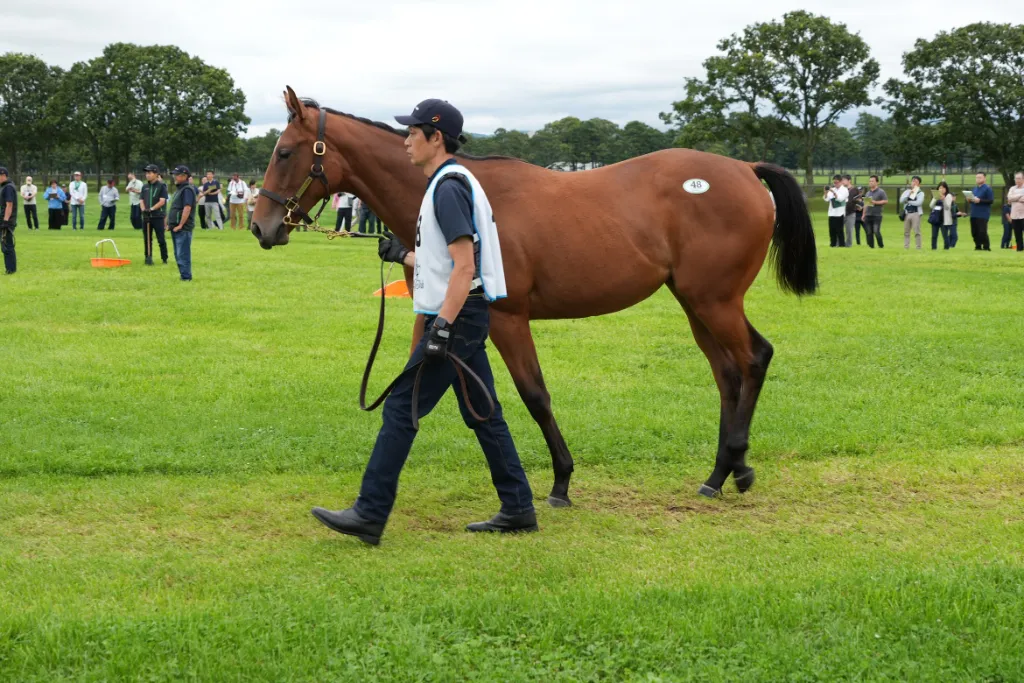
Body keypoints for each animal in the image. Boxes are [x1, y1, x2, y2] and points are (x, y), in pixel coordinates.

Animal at [251, 86, 818, 506]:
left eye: (284, 152)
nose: (262, 226)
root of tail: (744, 169)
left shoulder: (509, 318)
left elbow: (534, 395)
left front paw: (562, 480)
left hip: (715, 301)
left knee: (754, 358)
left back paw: (738, 464)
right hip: (696, 303)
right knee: (727, 374)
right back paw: (720, 473)